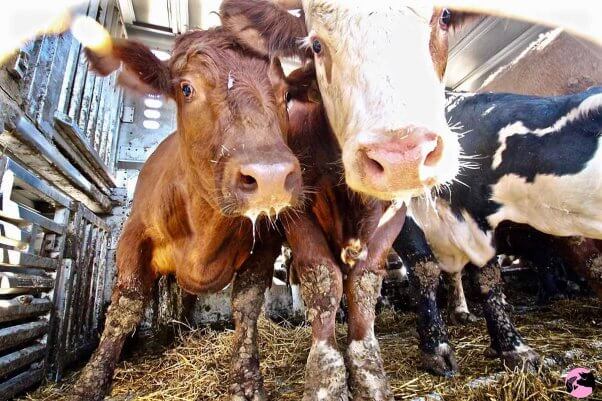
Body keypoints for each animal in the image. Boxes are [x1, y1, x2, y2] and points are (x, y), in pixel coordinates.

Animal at [70, 26, 302, 398]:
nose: (270, 177)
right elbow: (126, 306)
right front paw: (91, 380)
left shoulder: (266, 242)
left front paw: (245, 379)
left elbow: (247, 305)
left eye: (286, 94)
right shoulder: (133, 237)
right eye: (186, 88)